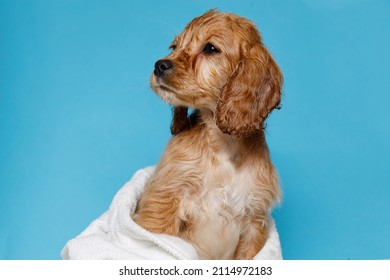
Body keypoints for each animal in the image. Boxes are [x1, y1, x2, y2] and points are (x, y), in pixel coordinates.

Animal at [134, 9, 284, 260]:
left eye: (210, 48)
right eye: (174, 47)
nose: (159, 65)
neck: (224, 145)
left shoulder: (255, 219)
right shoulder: (163, 200)